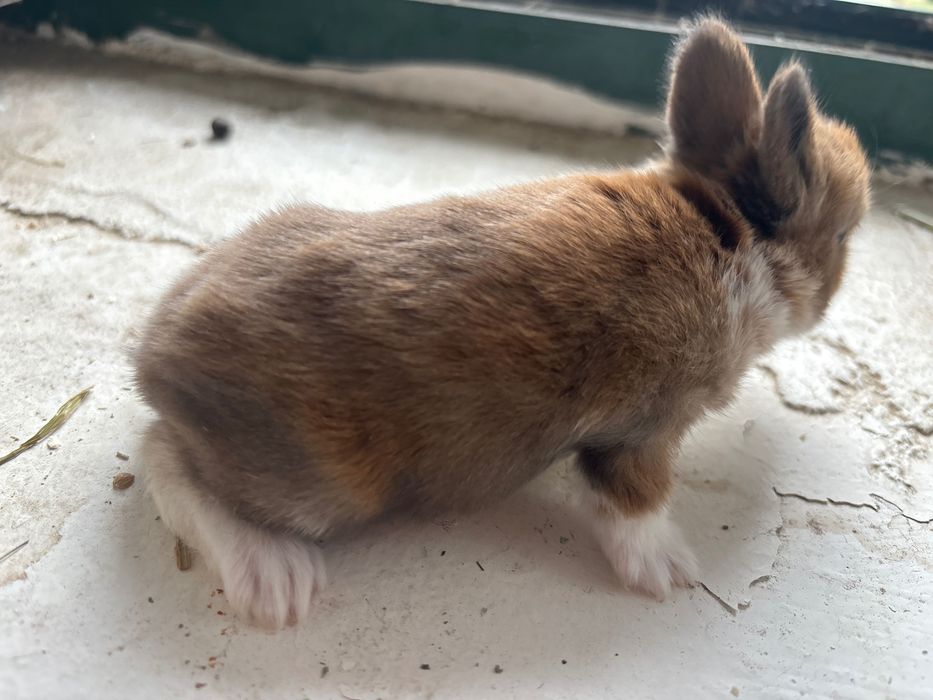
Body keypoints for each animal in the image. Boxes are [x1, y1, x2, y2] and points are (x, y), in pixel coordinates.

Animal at [135, 18, 870, 630]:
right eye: (840, 236)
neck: (730, 234)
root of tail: (154, 355)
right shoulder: (643, 430)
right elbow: (635, 501)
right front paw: (667, 571)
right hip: (318, 485)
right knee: (166, 461)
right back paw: (274, 577)